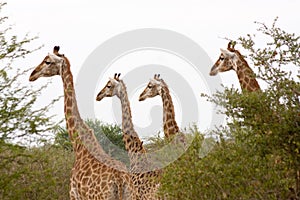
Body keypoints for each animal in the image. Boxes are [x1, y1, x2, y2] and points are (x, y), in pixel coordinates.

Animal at [28, 47, 136, 200]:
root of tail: (120, 180)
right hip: (131, 195)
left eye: (47, 61)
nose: (32, 75)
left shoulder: (73, 194)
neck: (79, 146)